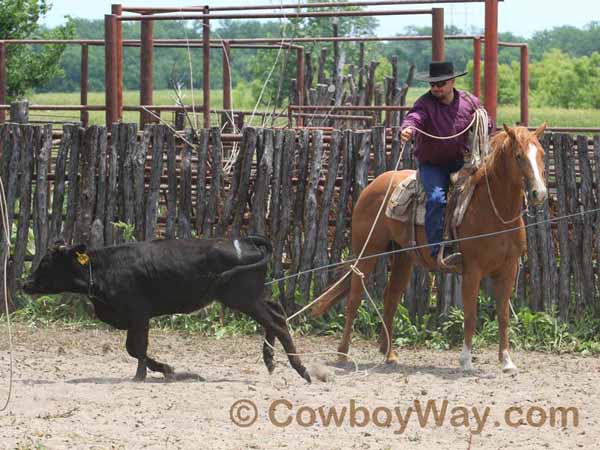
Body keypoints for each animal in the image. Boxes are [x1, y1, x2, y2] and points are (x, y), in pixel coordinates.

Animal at [314, 123, 548, 372]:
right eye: (519, 156)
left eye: (542, 154)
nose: (540, 193)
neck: (494, 211)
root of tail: (375, 184)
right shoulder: (472, 270)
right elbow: (470, 315)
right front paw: (466, 360)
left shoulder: (508, 269)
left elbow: (503, 316)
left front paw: (506, 361)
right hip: (367, 252)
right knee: (354, 298)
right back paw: (342, 353)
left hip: (403, 257)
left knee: (390, 299)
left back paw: (389, 354)